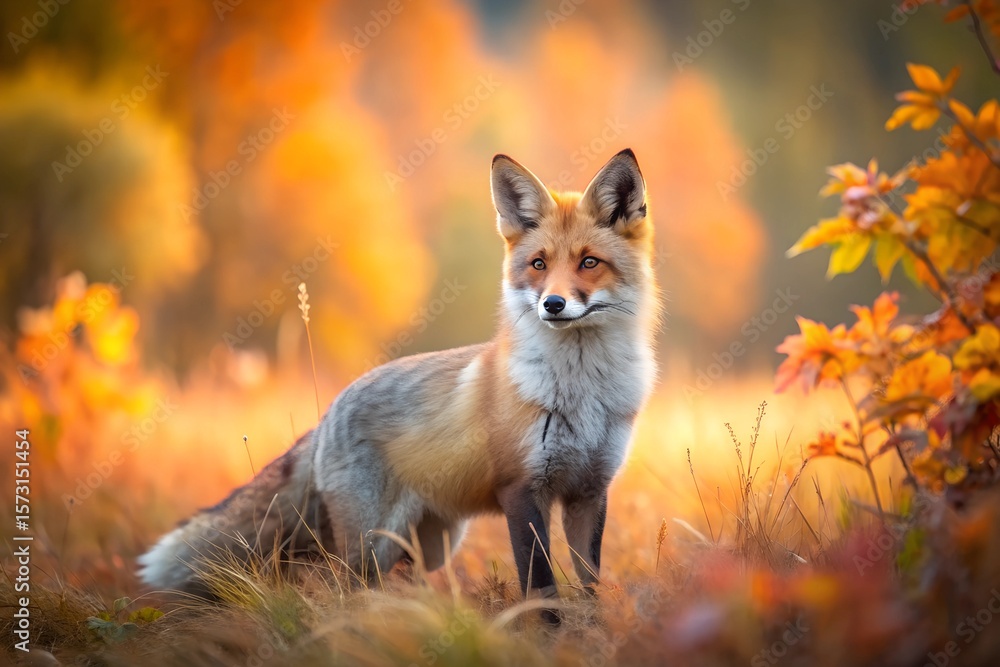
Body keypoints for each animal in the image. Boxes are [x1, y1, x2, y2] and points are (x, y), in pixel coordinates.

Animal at [139, 148, 659, 612]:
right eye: (539, 265)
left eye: (589, 262)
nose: (552, 304)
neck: (581, 393)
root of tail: (328, 413)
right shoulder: (522, 491)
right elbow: (543, 591)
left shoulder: (589, 492)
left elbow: (588, 586)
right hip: (371, 544)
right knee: (339, 591)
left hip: (430, 543)